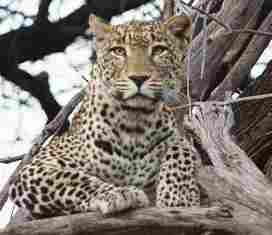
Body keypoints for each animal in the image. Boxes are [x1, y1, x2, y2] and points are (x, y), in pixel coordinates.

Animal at [9, 14, 200, 217]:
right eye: (118, 51)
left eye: (159, 50)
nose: (138, 78)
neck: (134, 122)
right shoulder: (37, 167)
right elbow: (71, 178)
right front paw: (119, 193)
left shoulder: (177, 138)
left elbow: (181, 150)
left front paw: (178, 197)